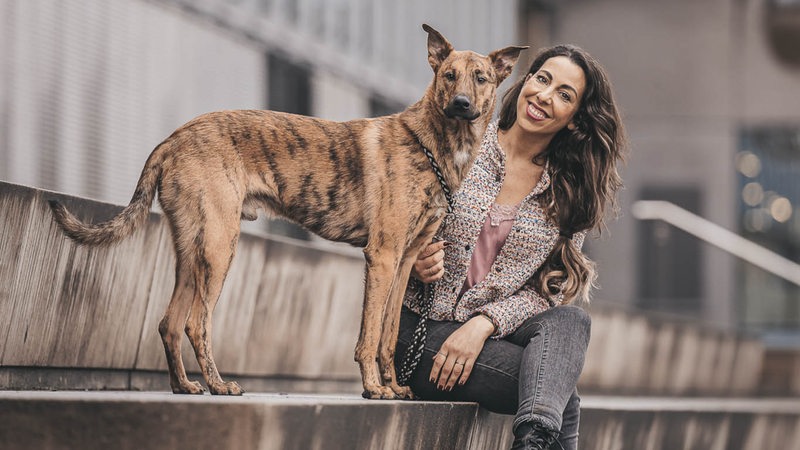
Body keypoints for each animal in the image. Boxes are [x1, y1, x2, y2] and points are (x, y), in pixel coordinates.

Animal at [48, 23, 524, 398]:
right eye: (448, 75)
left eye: (481, 78)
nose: (461, 103)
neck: (432, 144)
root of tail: (175, 136)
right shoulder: (383, 257)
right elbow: (369, 334)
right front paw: (373, 389)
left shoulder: (407, 260)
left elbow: (388, 335)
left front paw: (393, 386)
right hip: (220, 247)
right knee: (196, 323)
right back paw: (219, 384)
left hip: (191, 250)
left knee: (169, 322)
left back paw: (185, 385)